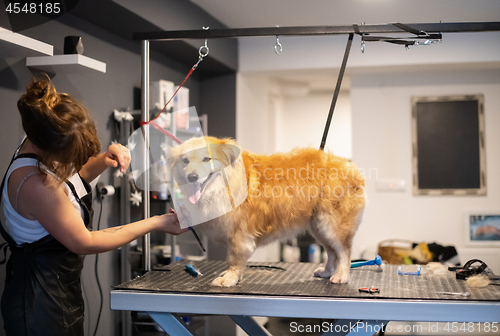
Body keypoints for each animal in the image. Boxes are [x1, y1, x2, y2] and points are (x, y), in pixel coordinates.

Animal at [170, 136, 366, 286]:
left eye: (207, 159)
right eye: (185, 161)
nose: (192, 177)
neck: (224, 185)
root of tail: (351, 168)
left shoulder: (239, 235)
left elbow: (233, 259)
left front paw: (230, 278)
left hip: (331, 224)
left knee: (344, 252)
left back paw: (342, 276)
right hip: (318, 226)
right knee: (332, 252)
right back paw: (326, 272)